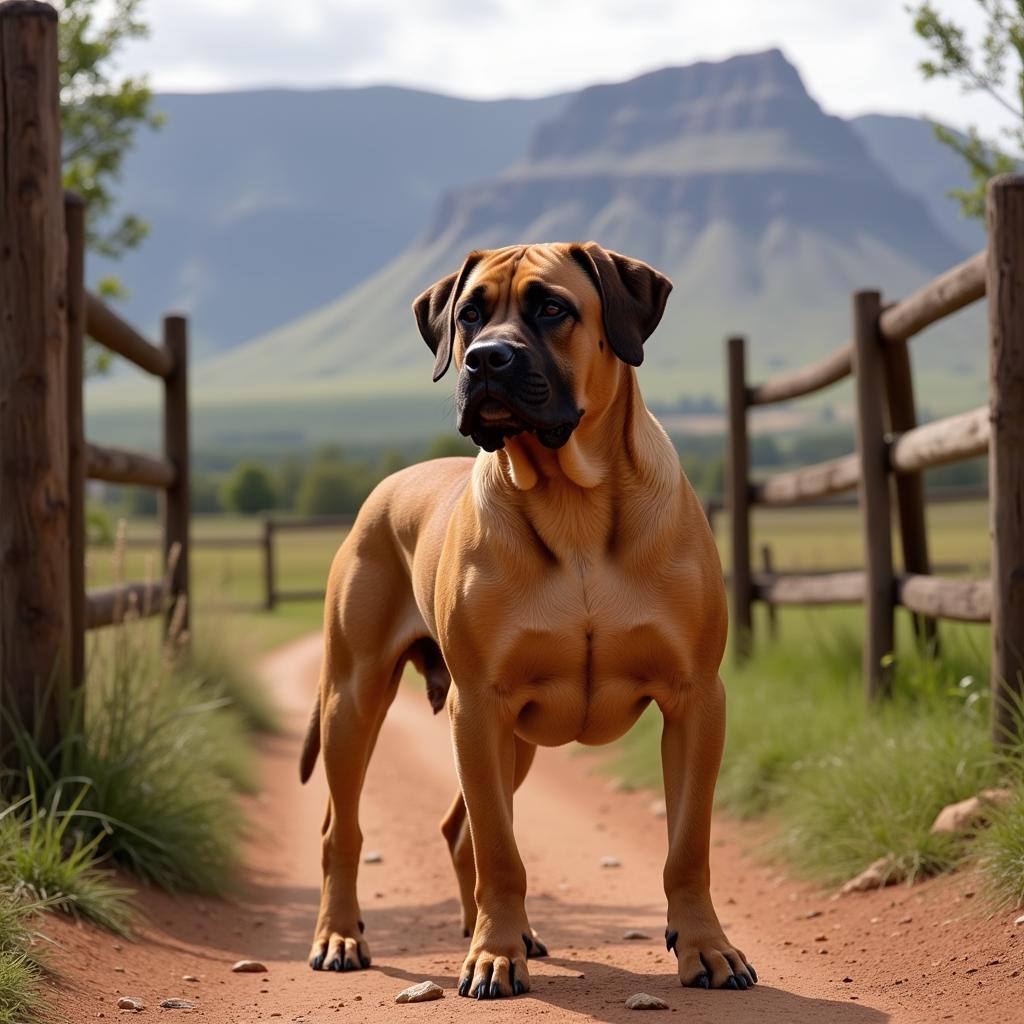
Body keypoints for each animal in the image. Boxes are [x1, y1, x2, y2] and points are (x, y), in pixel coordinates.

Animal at [299, 241, 757, 999]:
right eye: (469, 314)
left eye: (551, 308)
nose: (486, 359)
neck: (575, 502)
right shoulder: (480, 705)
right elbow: (500, 850)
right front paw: (493, 956)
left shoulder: (697, 699)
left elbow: (688, 845)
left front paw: (708, 948)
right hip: (354, 699)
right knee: (346, 831)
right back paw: (343, 937)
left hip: (514, 741)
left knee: (458, 830)